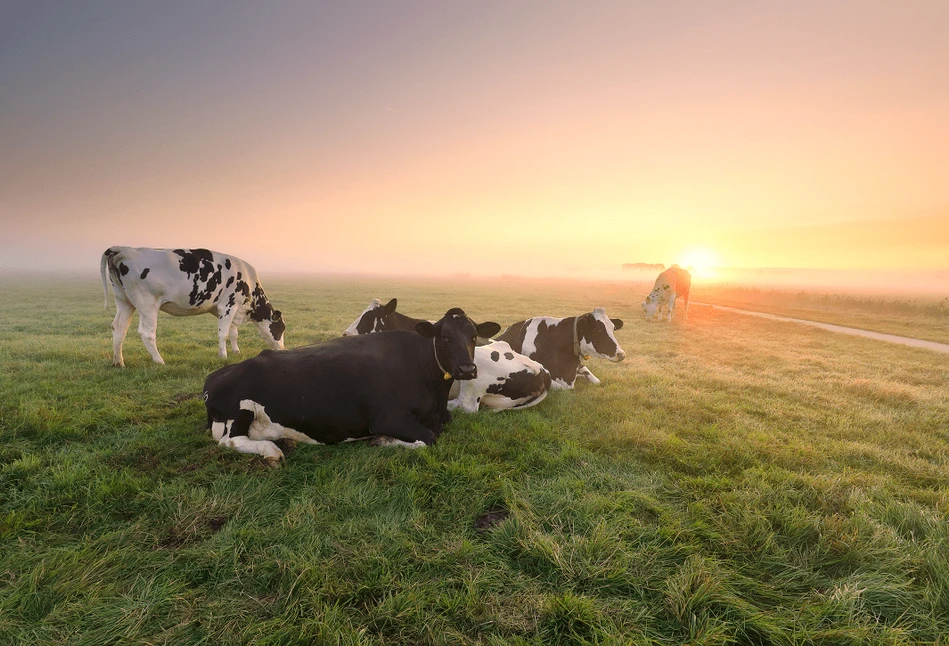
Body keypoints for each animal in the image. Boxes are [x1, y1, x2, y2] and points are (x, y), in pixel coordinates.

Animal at [102, 247, 286, 370]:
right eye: (281, 328)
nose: (283, 350)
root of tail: (123, 249)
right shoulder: (228, 304)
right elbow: (224, 334)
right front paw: (223, 356)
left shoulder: (228, 309)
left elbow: (233, 332)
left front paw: (236, 351)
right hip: (148, 304)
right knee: (146, 333)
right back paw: (159, 361)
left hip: (124, 301)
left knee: (119, 328)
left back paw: (118, 362)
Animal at [203, 308, 500, 466]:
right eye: (445, 337)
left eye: (474, 337)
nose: (467, 369)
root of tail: (215, 376)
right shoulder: (387, 418)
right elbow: (428, 437)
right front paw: (384, 441)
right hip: (239, 411)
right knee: (229, 441)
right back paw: (271, 450)